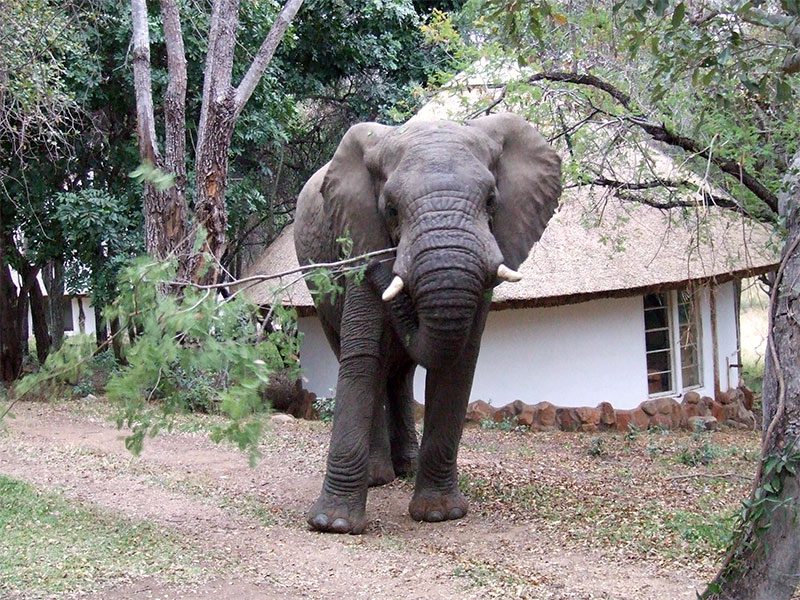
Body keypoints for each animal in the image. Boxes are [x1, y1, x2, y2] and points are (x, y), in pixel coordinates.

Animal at [293, 113, 562, 534]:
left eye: (491, 201)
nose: (391, 261)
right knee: (362, 359)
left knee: (399, 373)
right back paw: (380, 477)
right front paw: (331, 525)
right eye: (390, 210)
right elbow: (362, 359)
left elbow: (458, 363)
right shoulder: (358, 240)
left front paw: (439, 514)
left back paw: (406, 469)